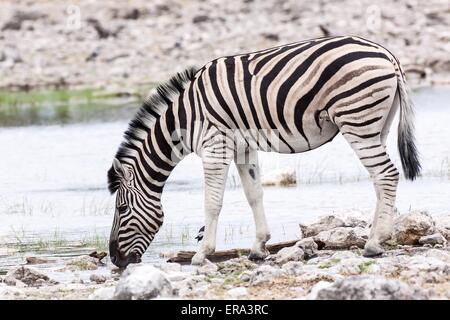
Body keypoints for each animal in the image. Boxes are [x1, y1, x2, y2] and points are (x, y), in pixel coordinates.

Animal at [107, 35, 420, 268]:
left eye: (121, 208)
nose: (114, 259)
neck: (185, 118)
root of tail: (387, 54)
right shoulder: (243, 148)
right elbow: (254, 194)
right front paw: (258, 247)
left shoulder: (215, 146)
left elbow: (212, 202)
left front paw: (202, 253)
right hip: (377, 125)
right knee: (380, 179)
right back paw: (378, 236)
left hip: (357, 119)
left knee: (387, 174)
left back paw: (374, 244)